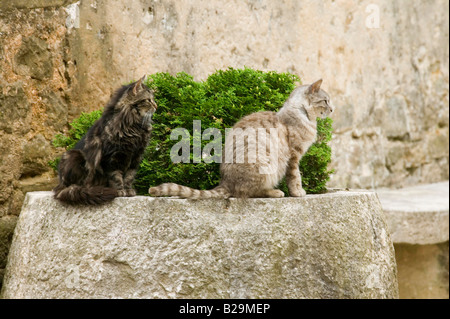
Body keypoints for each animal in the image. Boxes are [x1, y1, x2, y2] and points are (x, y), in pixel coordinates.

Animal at [53, 77, 156, 205]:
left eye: (153, 100)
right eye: (148, 100)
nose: (156, 106)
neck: (134, 126)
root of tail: (60, 186)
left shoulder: (136, 156)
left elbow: (129, 177)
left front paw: (128, 190)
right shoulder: (112, 157)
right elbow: (116, 177)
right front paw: (120, 191)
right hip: (74, 156)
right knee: (75, 186)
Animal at [149, 79, 332, 199]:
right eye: (325, 101)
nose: (332, 109)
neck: (301, 113)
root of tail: (226, 182)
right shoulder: (294, 156)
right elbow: (295, 177)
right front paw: (297, 192)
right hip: (265, 166)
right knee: (249, 192)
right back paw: (274, 192)